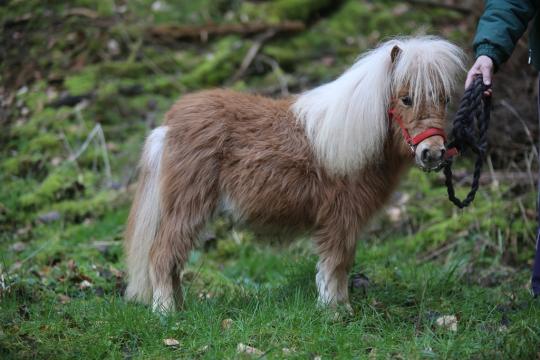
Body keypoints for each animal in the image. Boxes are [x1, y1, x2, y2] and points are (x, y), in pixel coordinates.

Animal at [125, 37, 464, 312]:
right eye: (406, 98)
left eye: (444, 98)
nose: (433, 153)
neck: (350, 137)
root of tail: (168, 125)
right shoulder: (339, 218)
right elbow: (335, 263)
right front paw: (335, 311)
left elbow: (341, 265)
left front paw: (339, 307)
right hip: (187, 207)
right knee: (162, 254)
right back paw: (166, 313)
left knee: (171, 261)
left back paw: (180, 308)